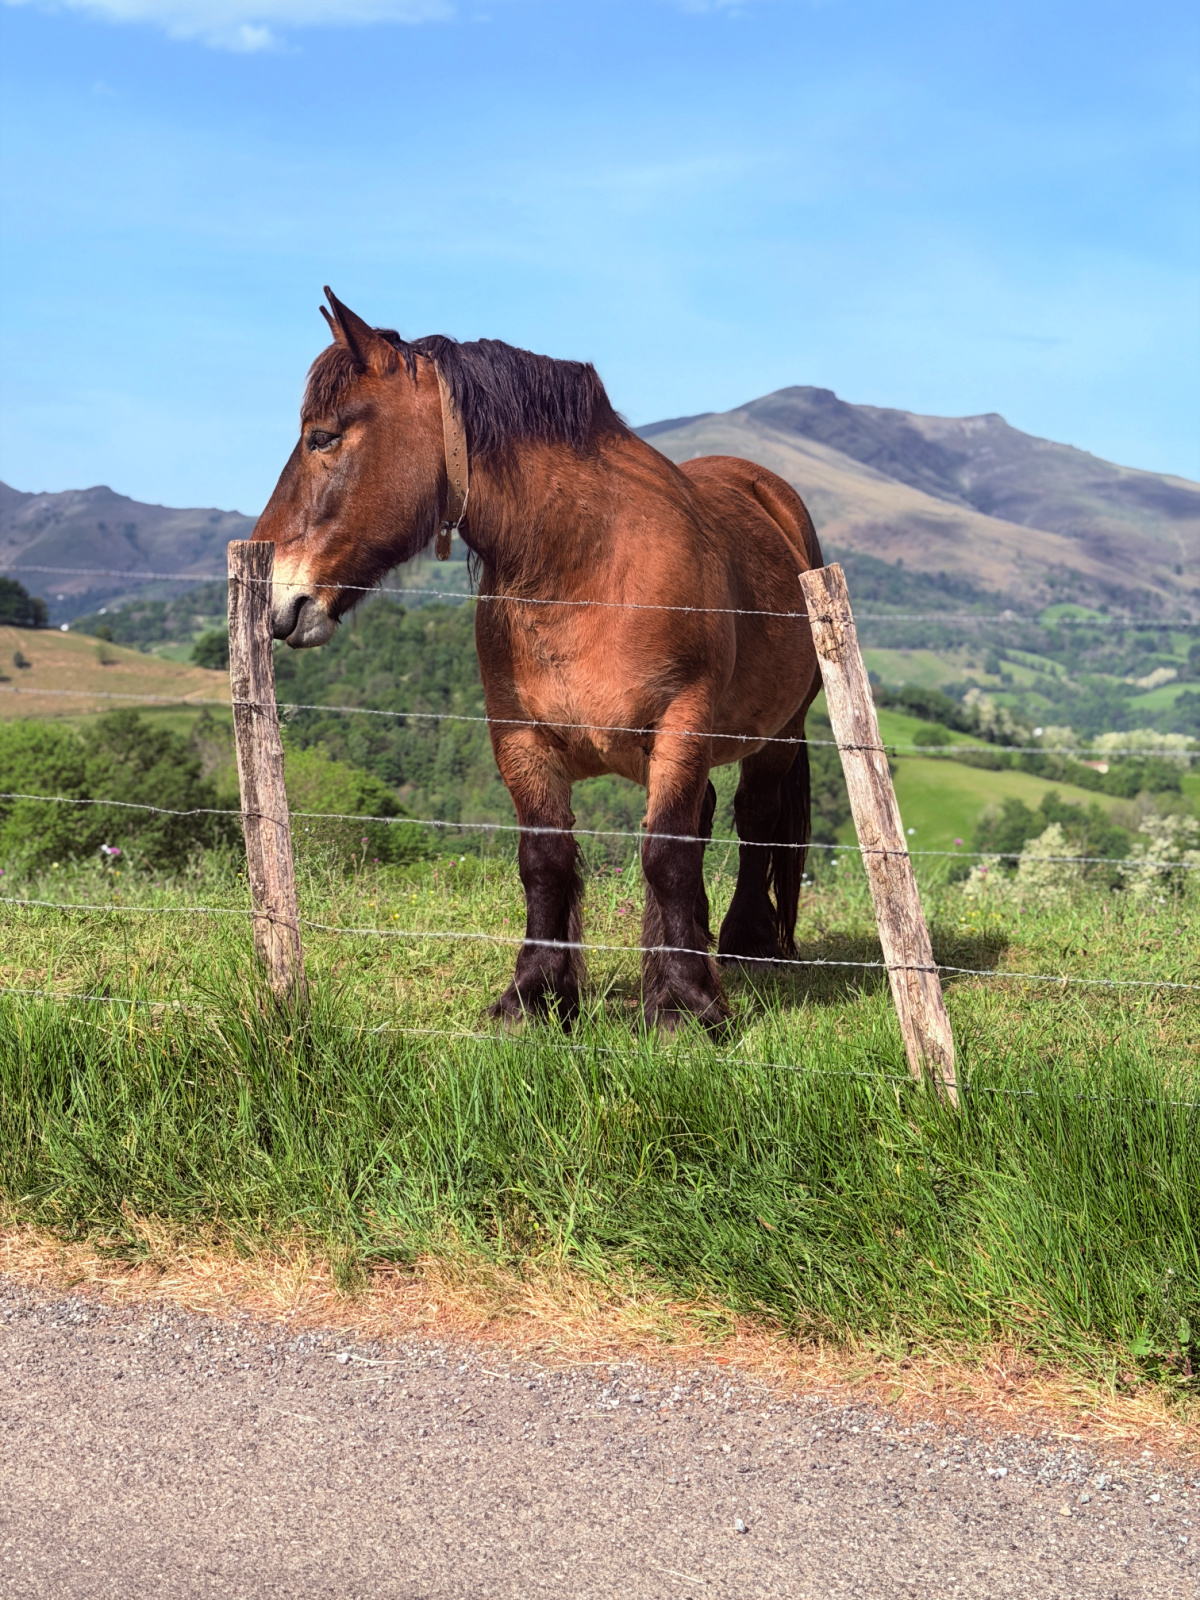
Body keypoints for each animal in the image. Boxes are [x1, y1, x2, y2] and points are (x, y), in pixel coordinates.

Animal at [253, 289, 824, 1031]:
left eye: (322, 437)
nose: (273, 597)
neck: (585, 560)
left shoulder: (683, 724)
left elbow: (667, 854)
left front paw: (685, 1006)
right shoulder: (520, 739)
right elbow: (546, 859)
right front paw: (536, 995)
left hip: (777, 735)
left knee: (754, 820)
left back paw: (745, 943)